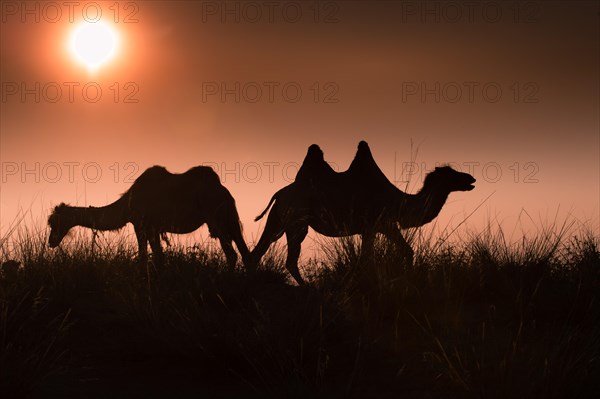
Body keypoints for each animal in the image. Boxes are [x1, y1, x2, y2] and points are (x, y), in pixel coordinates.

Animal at [48, 164, 252, 270]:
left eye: (53, 223)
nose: (51, 241)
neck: (126, 205)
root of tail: (224, 192)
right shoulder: (152, 228)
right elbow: (157, 256)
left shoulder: (142, 225)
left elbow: (145, 257)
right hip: (228, 219)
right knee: (244, 252)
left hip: (217, 218)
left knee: (232, 253)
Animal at [248, 141, 474, 284]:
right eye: (451, 174)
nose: (471, 178)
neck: (399, 202)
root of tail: (279, 193)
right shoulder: (378, 224)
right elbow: (379, 256)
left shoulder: (379, 226)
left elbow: (400, 252)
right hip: (296, 222)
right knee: (288, 259)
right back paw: (306, 288)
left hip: (278, 219)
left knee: (260, 251)